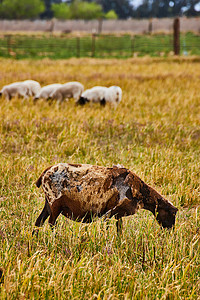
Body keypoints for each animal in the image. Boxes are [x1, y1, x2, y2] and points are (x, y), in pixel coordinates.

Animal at [32, 162, 178, 234]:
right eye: (172, 214)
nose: (170, 231)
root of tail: (45, 172)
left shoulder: (118, 214)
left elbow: (119, 229)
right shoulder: (108, 212)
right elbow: (106, 228)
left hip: (48, 203)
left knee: (38, 222)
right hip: (54, 202)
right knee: (51, 223)